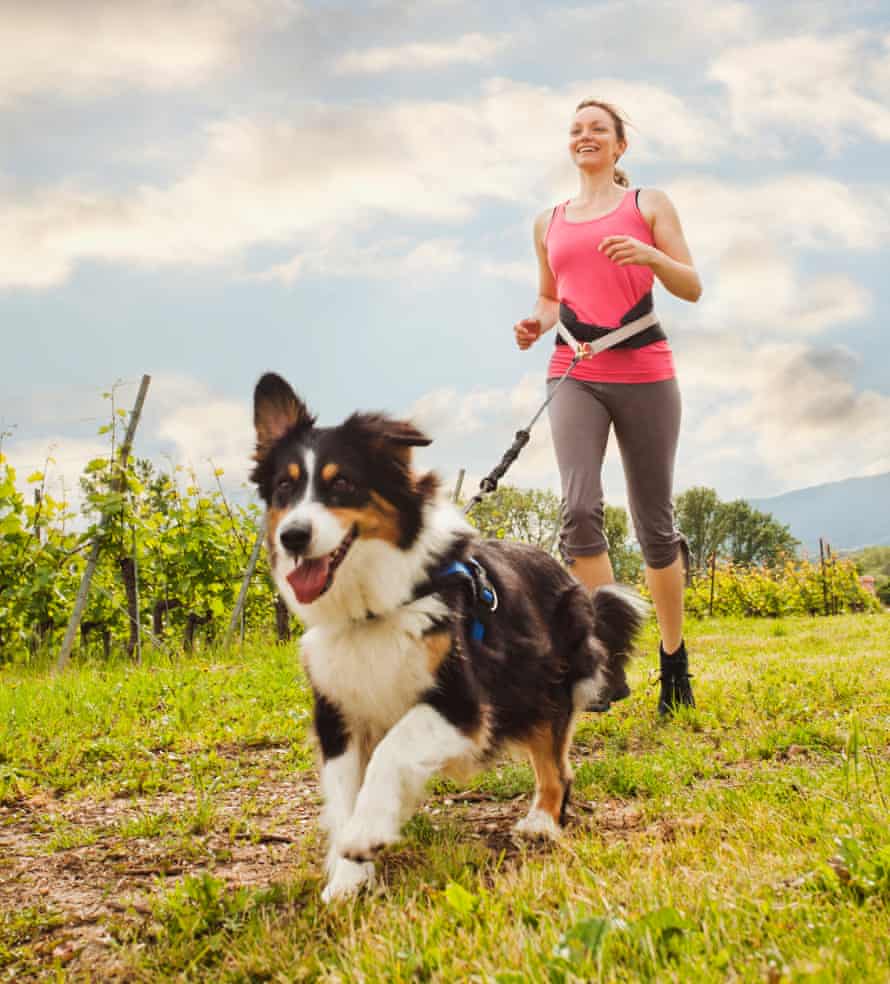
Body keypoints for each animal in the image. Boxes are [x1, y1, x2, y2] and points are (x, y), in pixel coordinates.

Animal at [250, 372, 644, 904]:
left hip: (543, 685)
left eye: (343, 483)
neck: (373, 608)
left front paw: (365, 835)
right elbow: (345, 792)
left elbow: (393, 751)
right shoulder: (337, 711)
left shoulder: (462, 703)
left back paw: (542, 821)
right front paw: (348, 878)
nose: (292, 536)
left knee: (556, 766)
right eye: (284, 487)